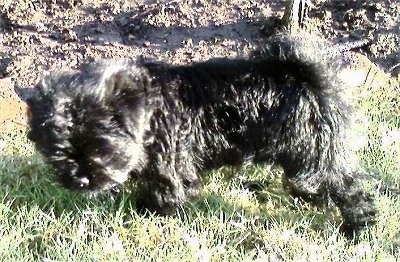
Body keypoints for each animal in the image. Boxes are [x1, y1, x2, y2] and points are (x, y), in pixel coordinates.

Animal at [27, 33, 376, 236]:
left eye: (100, 149)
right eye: (59, 154)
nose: (80, 179)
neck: (145, 110)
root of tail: (305, 77)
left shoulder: (170, 163)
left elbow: (167, 191)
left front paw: (148, 212)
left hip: (310, 161)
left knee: (347, 187)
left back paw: (359, 227)